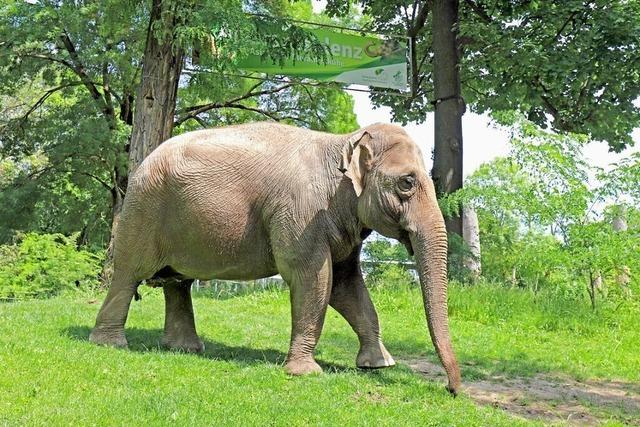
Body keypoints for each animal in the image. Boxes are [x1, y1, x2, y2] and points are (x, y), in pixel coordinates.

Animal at [89, 122, 460, 396]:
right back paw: (110, 345)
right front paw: (306, 374)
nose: (451, 390)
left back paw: (185, 349)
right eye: (407, 182)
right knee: (127, 275)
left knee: (177, 283)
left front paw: (379, 365)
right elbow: (313, 278)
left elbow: (347, 286)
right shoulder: (300, 214)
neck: (342, 141)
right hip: (143, 212)